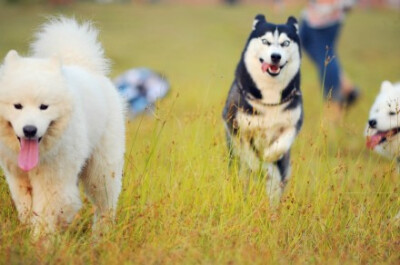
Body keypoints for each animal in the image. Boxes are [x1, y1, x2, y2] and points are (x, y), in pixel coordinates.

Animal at [0, 17, 125, 235]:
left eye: (44, 107)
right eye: (17, 106)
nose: (29, 130)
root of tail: (84, 66)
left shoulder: (53, 182)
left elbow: (45, 214)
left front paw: (40, 240)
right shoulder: (18, 178)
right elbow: (26, 208)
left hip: (101, 170)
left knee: (105, 205)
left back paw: (101, 236)